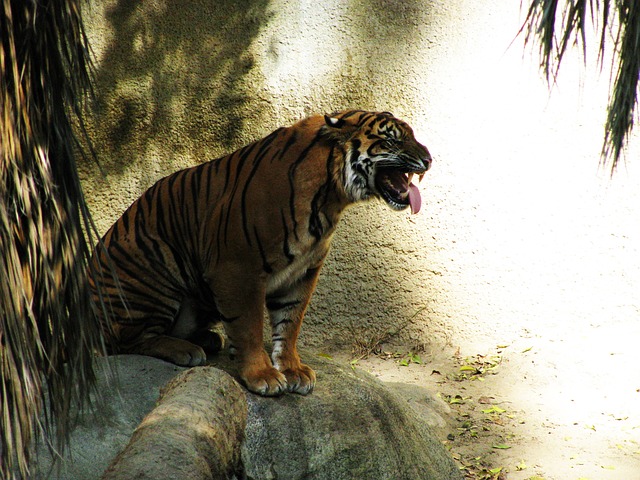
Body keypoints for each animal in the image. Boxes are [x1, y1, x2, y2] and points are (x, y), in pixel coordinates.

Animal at [89, 110, 430, 396]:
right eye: (391, 139)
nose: (429, 159)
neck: (330, 197)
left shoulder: (303, 271)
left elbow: (290, 322)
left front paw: (292, 369)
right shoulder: (238, 268)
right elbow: (249, 325)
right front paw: (262, 375)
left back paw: (207, 339)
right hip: (152, 269)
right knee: (122, 340)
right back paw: (184, 350)